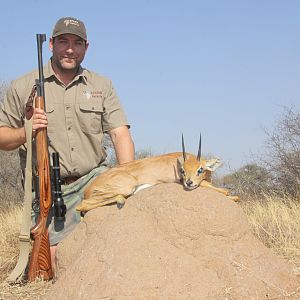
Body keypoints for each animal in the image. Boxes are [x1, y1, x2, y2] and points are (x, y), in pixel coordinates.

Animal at [75, 135, 239, 212]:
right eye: (182, 171)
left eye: (200, 169)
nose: (189, 182)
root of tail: (88, 189)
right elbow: (220, 190)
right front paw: (234, 197)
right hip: (126, 187)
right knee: (81, 206)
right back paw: (120, 201)